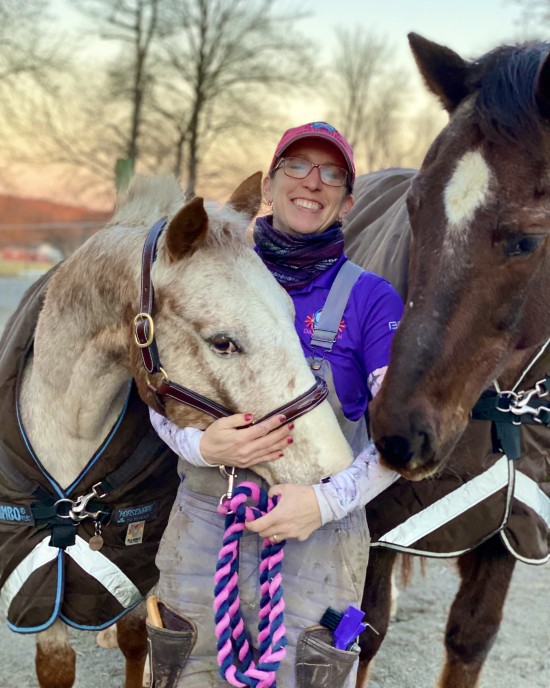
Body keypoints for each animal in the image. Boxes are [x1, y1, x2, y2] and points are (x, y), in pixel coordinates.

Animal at [0, 172, 353, 688]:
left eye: (291, 315)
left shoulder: (134, 564)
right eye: (223, 342)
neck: (72, 428)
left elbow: (136, 639)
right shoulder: (36, 573)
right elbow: (57, 664)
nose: (335, 464)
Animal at [343, 34, 550, 688]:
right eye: (415, 206)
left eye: (528, 239)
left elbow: (470, 639)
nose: (397, 433)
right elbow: (361, 635)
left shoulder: (510, 529)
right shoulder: (379, 527)